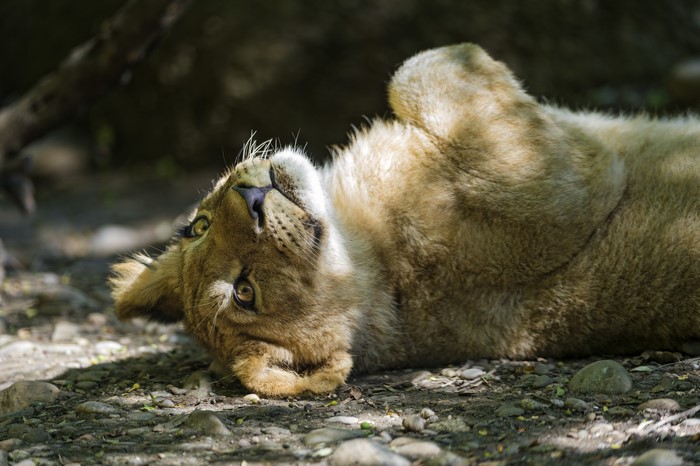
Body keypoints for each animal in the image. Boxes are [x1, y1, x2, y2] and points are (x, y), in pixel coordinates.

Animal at [110, 44, 700, 397]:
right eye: (245, 292)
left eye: (197, 226)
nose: (252, 195)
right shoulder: (560, 185)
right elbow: (416, 71)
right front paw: (467, 56)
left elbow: (409, 74)